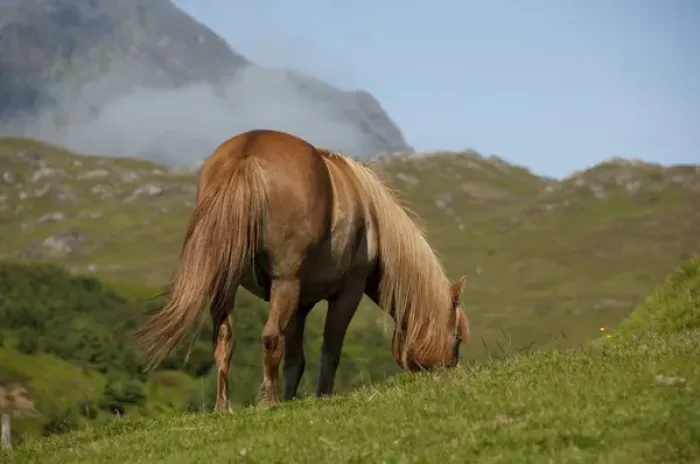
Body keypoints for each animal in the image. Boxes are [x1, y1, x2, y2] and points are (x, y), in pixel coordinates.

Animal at [135, 129, 470, 411]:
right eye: (457, 337)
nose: (450, 375)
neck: (373, 219)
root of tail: (248, 152)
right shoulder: (347, 292)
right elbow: (330, 349)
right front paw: (321, 396)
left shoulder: (300, 304)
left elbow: (295, 358)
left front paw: (291, 398)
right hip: (285, 282)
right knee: (270, 337)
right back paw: (268, 402)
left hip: (230, 285)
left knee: (225, 339)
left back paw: (224, 407)